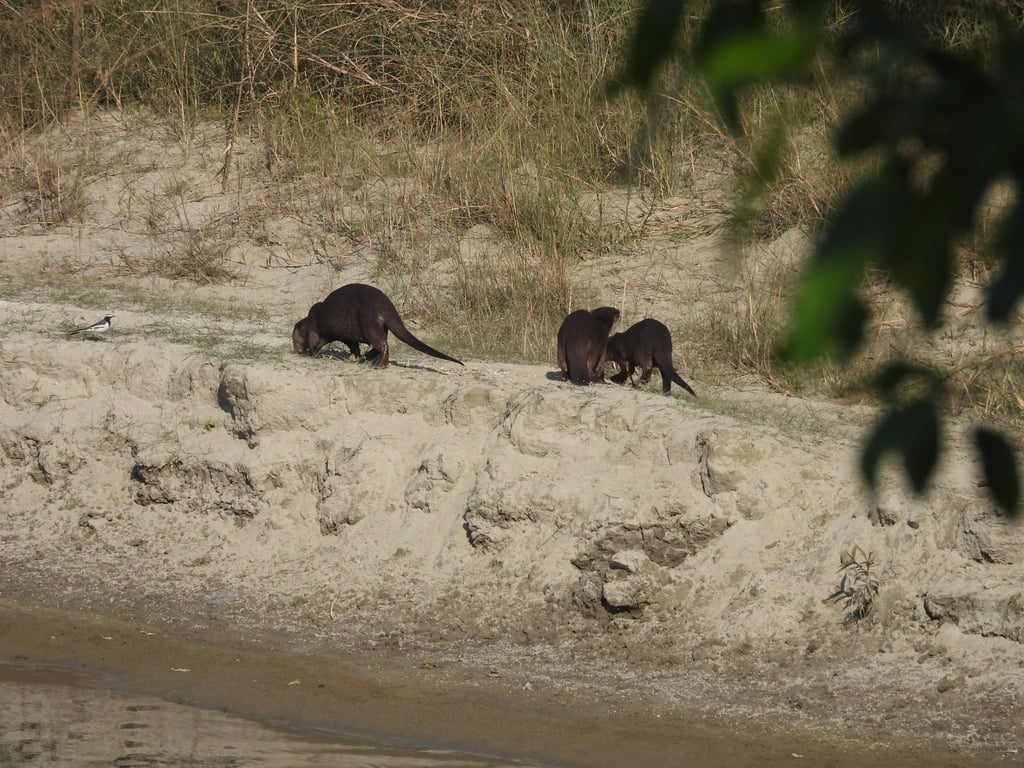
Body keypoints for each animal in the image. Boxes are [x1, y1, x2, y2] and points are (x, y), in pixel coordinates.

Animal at [292, 283, 463, 368]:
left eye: (294, 341)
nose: (296, 350)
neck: (309, 319)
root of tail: (385, 306)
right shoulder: (349, 337)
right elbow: (354, 347)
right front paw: (354, 358)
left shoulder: (314, 330)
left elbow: (314, 345)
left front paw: (310, 354)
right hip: (377, 327)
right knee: (380, 344)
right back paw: (367, 359)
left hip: (369, 322)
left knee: (383, 345)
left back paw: (378, 365)